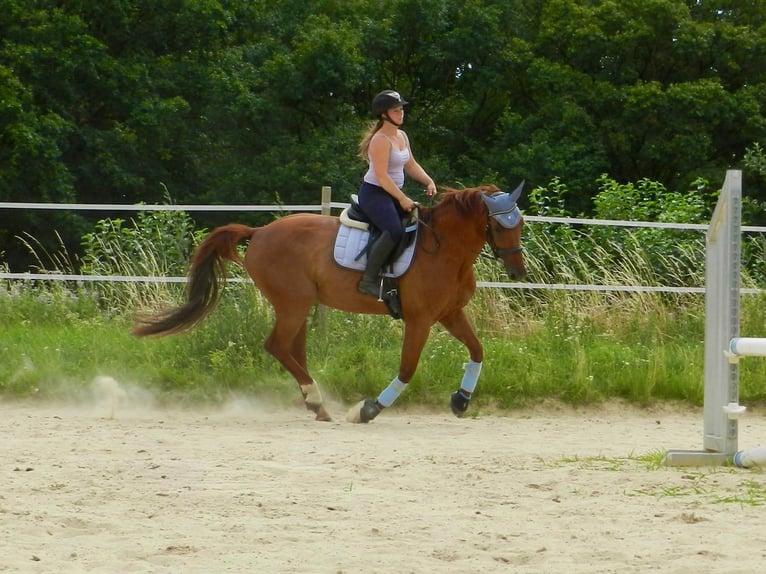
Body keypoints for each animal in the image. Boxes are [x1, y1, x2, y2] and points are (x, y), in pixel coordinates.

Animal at [131, 183, 525, 422]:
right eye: (500, 226)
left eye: (519, 224)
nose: (518, 272)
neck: (445, 251)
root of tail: (260, 232)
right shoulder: (420, 319)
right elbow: (407, 368)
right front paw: (369, 409)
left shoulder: (450, 313)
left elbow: (477, 350)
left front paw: (461, 400)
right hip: (293, 303)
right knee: (277, 346)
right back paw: (317, 400)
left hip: (299, 306)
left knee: (293, 350)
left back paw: (315, 404)